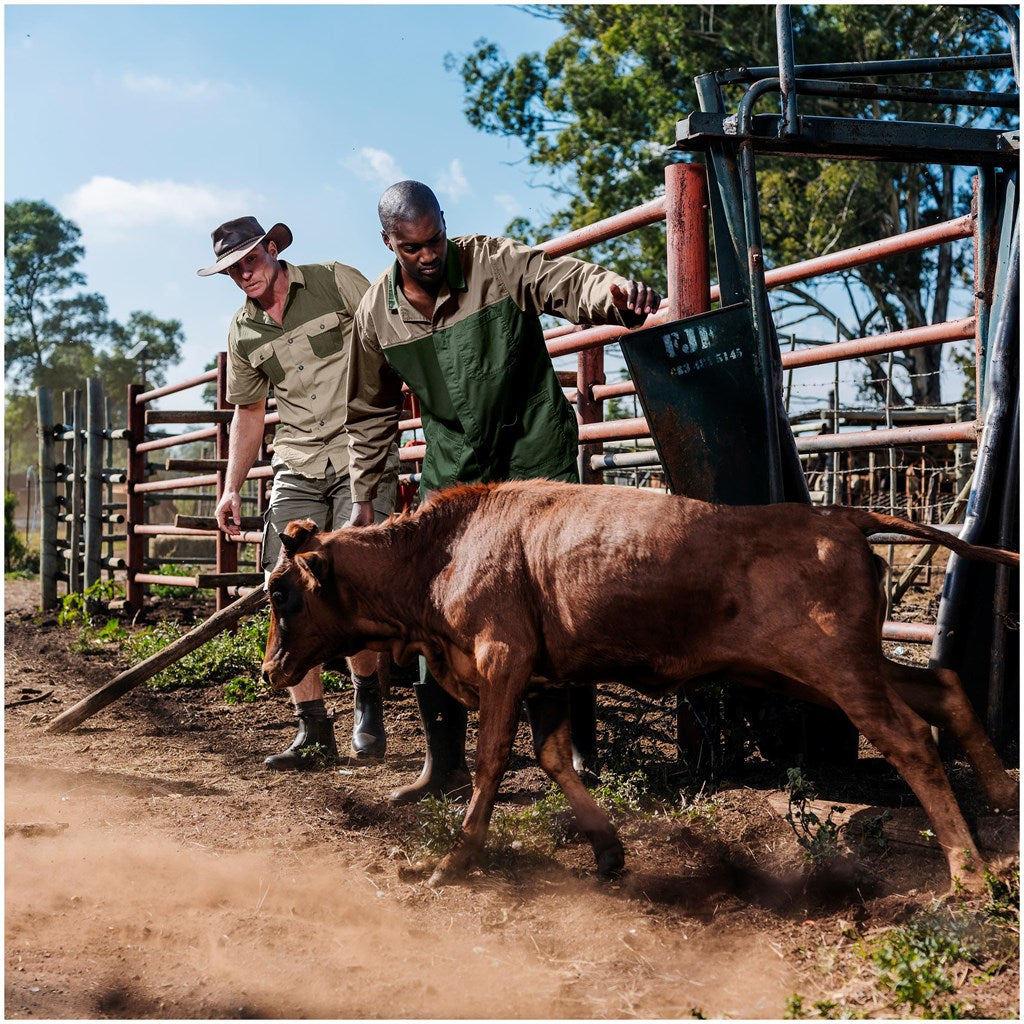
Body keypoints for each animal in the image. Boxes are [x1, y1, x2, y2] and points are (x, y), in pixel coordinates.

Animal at [258, 477, 1015, 888]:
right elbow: (554, 757)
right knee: (941, 684)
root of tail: (841, 515)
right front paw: (608, 848)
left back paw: (968, 872)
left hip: (838, 670)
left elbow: (491, 759)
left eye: (280, 593)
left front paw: (452, 862)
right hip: (828, 671)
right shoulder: (547, 677)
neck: (445, 551)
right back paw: (1004, 797)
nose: (269, 669)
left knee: (911, 737)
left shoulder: (503, 659)